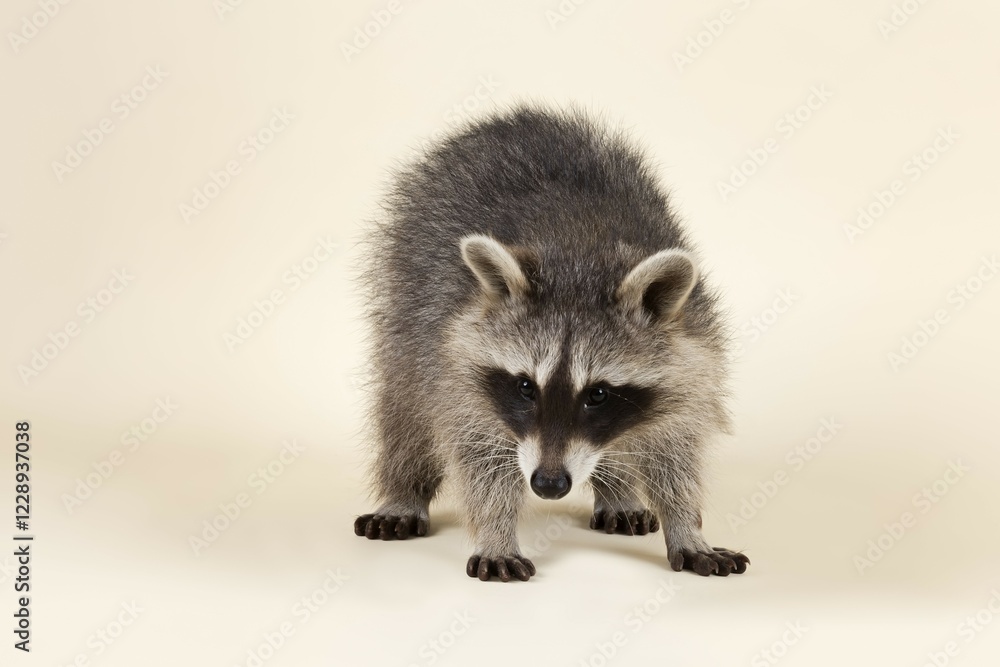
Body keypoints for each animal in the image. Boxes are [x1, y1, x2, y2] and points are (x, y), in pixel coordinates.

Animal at [354, 106, 749, 582]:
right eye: (526, 386)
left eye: (599, 394)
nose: (548, 483)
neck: (580, 257)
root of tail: (513, 119)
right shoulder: (454, 356)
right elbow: (480, 456)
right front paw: (496, 531)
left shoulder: (691, 350)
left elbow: (675, 447)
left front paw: (686, 524)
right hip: (409, 289)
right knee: (404, 403)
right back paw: (403, 490)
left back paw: (617, 491)